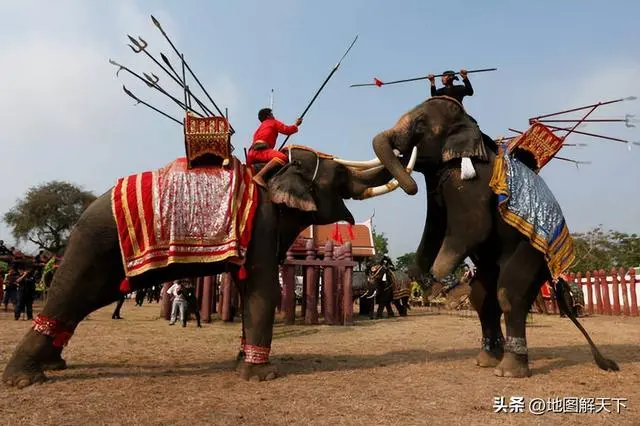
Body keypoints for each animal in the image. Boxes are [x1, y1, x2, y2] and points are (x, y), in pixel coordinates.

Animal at [2, 146, 397, 388]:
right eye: (341, 177)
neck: (272, 173)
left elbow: (248, 288)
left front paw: (242, 363)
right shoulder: (262, 224)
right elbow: (263, 288)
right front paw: (263, 376)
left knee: (84, 300)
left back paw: (50, 366)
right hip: (97, 243)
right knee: (72, 293)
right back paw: (24, 379)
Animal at [362, 95, 618, 377]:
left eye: (419, 124)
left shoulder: (473, 182)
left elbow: (472, 227)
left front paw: (443, 287)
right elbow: (435, 226)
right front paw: (424, 278)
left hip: (533, 252)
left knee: (509, 294)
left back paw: (509, 371)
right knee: (483, 299)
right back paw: (486, 360)